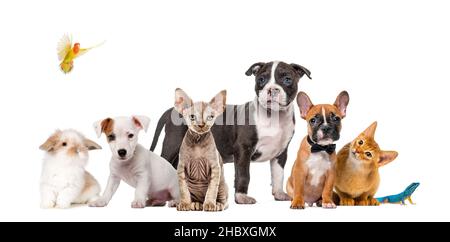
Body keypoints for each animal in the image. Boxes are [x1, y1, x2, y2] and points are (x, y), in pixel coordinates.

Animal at [149, 61, 312, 204]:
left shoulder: (281, 153)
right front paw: (241, 197)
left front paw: (279, 194)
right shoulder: (243, 150)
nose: (272, 89)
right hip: (172, 144)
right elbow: (243, 175)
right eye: (261, 79)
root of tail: (171, 110)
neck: (274, 117)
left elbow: (278, 175)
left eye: (287, 79)